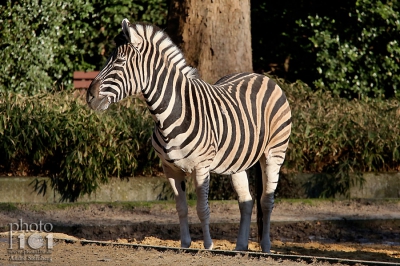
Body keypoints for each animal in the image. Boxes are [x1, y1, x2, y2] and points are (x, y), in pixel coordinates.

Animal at [87, 18, 292, 251]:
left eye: (120, 61)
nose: (89, 96)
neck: (170, 115)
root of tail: (261, 76)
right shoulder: (170, 169)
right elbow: (181, 208)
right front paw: (185, 244)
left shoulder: (201, 167)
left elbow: (203, 209)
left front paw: (209, 246)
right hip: (237, 161)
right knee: (247, 201)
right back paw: (240, 247)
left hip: (274, 153)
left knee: (266, 201)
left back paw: (266, 247)